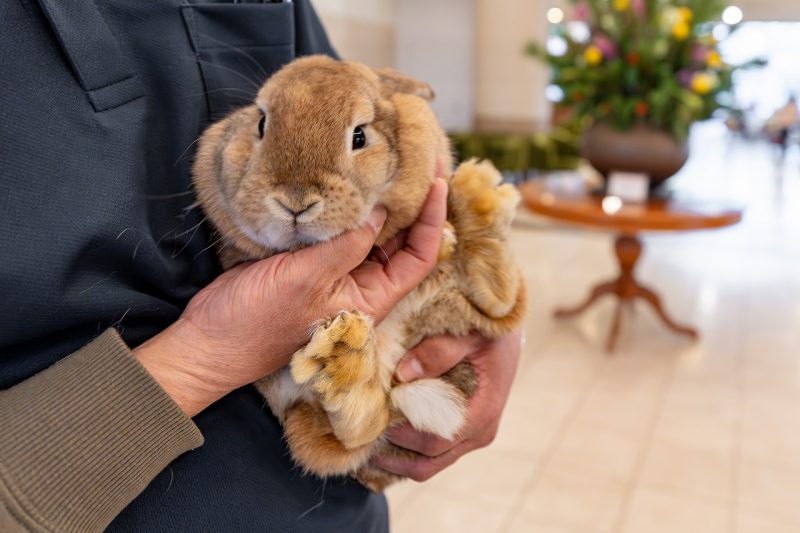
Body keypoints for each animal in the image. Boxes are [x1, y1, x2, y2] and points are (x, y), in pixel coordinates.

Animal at [192, 55, 524, 490]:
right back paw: (343, 356)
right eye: (261, 123)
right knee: (355, 433)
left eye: (360, 136)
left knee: (499, 305)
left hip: (456, 307)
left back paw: (476, 196)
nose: (295, 203)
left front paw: (446, 232)